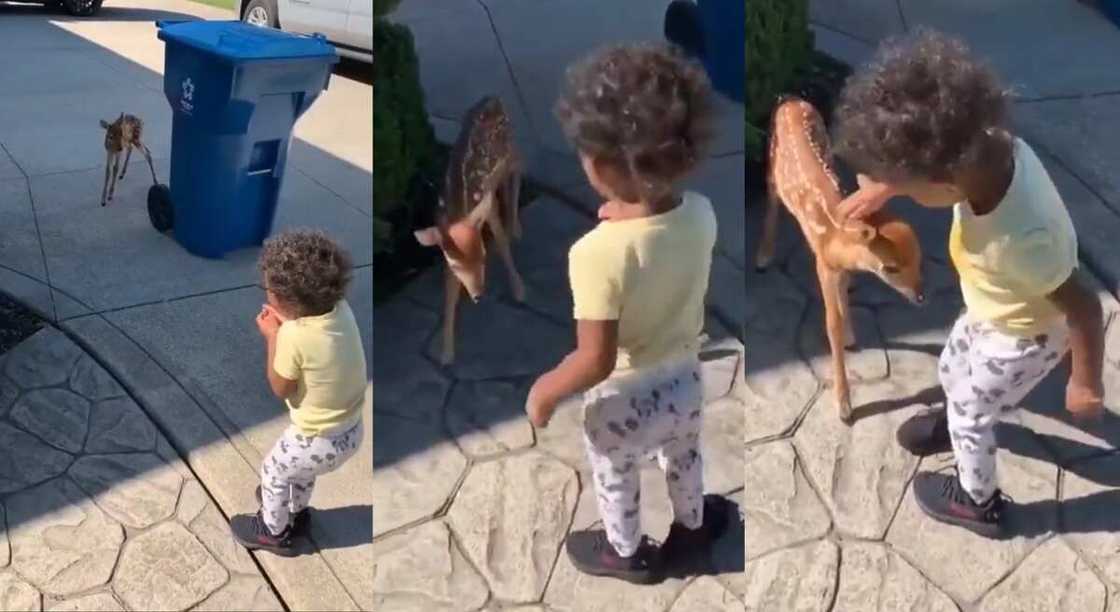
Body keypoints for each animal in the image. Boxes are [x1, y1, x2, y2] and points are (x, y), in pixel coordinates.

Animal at [414, 95, 526, 363]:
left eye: (483, 257)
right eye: (456, 265)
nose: (478, 295)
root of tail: (492, 98)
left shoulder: (489, 208)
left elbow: (502, 244)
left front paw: (519, 290)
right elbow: (449, 294)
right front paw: (446, 353)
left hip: (510, 145)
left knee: (519, 166)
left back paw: (515, 226)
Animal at [757, 97, 922, 421]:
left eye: (920, 257)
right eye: (891, 267)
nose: (920, 297)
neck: (835, 238)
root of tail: (790, 99)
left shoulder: (840, 268)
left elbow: (845, 299)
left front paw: (851, 336)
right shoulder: (824, 265)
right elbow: (830, 323)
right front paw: (844, 406)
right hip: (771, 157)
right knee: (771, 197)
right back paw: (763, 255)